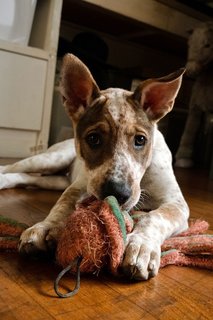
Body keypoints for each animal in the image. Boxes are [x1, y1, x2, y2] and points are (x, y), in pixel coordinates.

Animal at [0, 55, 189, 280]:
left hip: (55, 179)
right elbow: (62, 204)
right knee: (13, 167)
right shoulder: (79, 186)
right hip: (52, 158)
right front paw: (46, 227)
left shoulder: (177, 203)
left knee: (29, 178)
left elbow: (155, 216)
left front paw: (141, 245)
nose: (117, 193)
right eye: (93, 138)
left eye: (140, 140)